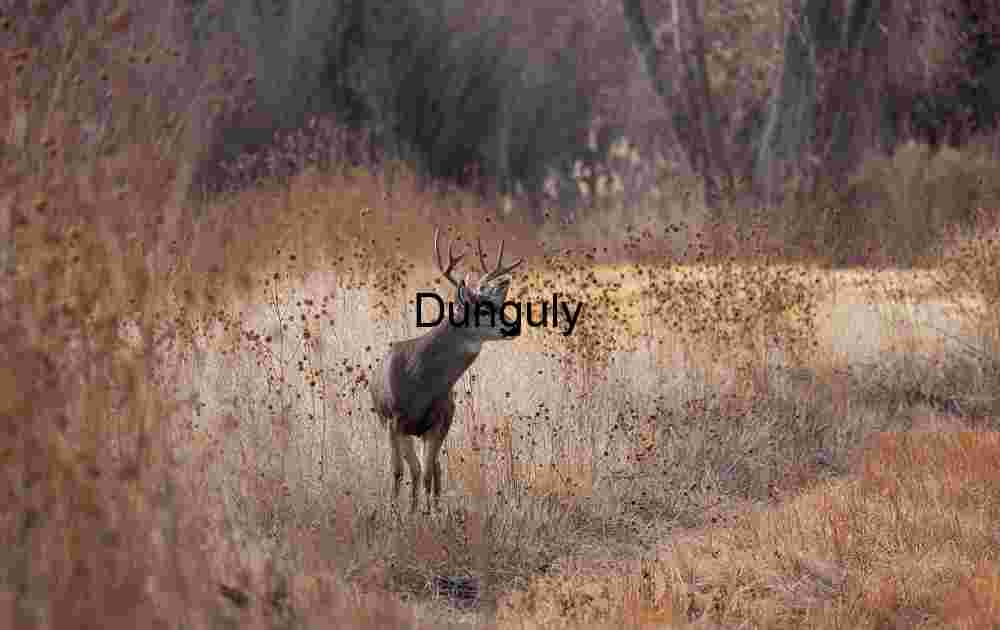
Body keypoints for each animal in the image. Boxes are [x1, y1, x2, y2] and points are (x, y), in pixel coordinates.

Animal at [369, 228, 524, 512]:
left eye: (500, 304)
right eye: (483, 309)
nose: (514, 326)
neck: (419, 381)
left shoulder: (440, 422)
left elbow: (428, 472)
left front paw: (427, 512)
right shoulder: (394, 421)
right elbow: (400, 471)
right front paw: (397, 511)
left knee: (432, 468)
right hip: (391, 424)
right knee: (410, 468)